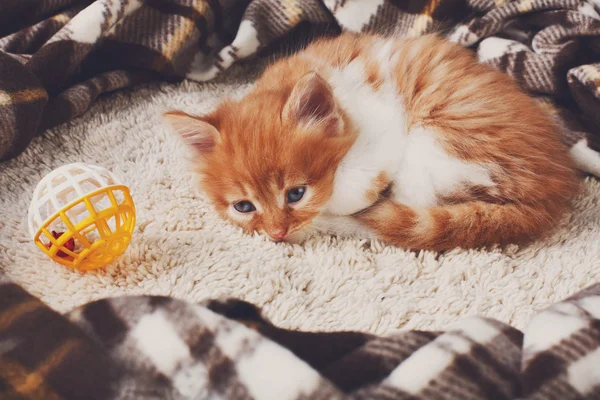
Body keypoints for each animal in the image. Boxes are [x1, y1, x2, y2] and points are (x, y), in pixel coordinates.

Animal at [163, 33, 576, 250]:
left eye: (296, 194)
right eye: (243, 207)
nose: (277, 234)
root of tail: (552, 192)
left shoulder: (387, 122)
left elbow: (352, 188)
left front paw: (332, 210)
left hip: (440, 138)